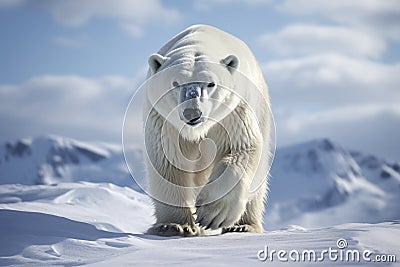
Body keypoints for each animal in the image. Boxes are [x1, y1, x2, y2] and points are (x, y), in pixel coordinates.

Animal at [142, 24, 270, 237]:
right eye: (175, 83)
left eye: (211, 83)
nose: (192, 113)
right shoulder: (165, 120)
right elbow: (169, 162)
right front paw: (174, 225)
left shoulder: (234, 111)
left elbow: (242, 148)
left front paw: (213, 214)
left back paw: (243, 226)